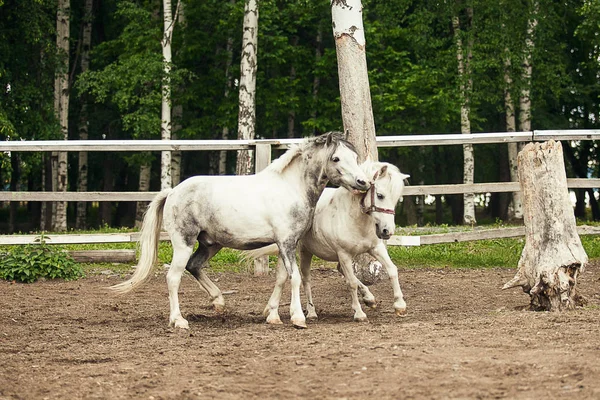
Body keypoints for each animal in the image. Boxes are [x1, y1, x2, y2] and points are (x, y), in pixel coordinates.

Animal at [109, 131, 370, 328]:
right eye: (336, 158)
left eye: (354, 156)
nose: (363, 182)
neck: (290, 187)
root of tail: (172, 191)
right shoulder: (286, 242)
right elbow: (294, 277)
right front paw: (298, 317)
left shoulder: (286, 244)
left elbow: (281, 278)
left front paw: (272, 315)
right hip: (183, 243)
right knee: (173, 277)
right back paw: (179, 320)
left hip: (210, 244)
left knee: (194, 266)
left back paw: (218, 301)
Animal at [244, 159, 408, 322]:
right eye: (380, 195)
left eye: (396, 199)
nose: (387, 231)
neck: (354, 218)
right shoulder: (344, 254)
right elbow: (351, 283)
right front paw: (359, 313)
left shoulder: (376, 248)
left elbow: (392, 270)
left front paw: (399, 305)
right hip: (304, 251)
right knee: (305, 279)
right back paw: (310, 312)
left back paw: (369, 298)